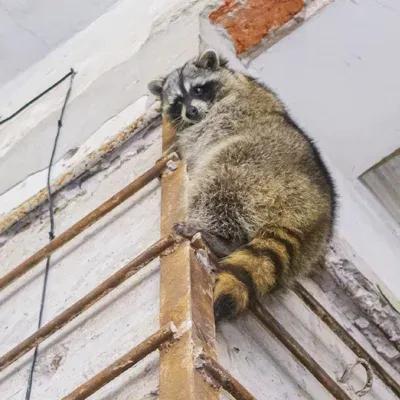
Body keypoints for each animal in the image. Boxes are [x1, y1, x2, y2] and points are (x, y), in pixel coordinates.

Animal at [148, 50, 336, 320]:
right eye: (178, 102)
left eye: (198, 89)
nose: (191, 111)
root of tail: (313, 214)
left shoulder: (228, 112)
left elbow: (199, 138)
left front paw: (179, 147)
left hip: (254, 168)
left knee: (218, 180)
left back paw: (220, 238)